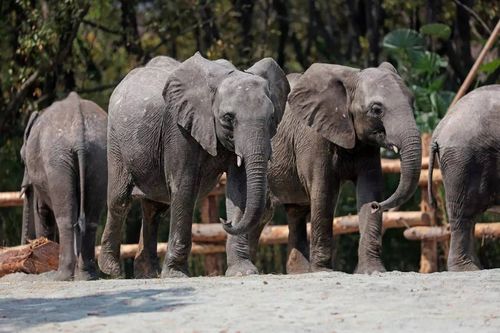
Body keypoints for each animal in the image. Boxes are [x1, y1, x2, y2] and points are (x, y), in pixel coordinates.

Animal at [19, 91, 107, 280]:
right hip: (99, 157)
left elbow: (42, 212)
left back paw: (61, 276)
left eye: (23, 158)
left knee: (65, 218)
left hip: (57, 160)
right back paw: (87, 276)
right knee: (90, 218)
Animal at [96, 52, 290, 278]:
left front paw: (244, 272)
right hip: (116, 139)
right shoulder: (178, 126)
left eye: (272, 118)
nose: (226, 222)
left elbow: (240, 188)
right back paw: (112, 271)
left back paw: (149, 273)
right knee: (119, 200)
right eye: (228, 118)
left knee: (154, 208)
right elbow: (185, 186)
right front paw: (175, 274)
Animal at [226, 61, 422, 274]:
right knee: (265, 211)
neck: (351, 79)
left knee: (294, 211)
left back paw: (299, 272)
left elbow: (370, 188)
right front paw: (323, 271)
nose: (378, 206)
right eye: (376, 109)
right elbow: (324, 191)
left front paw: (373, 271)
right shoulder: (315, 136)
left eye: (413, 102)